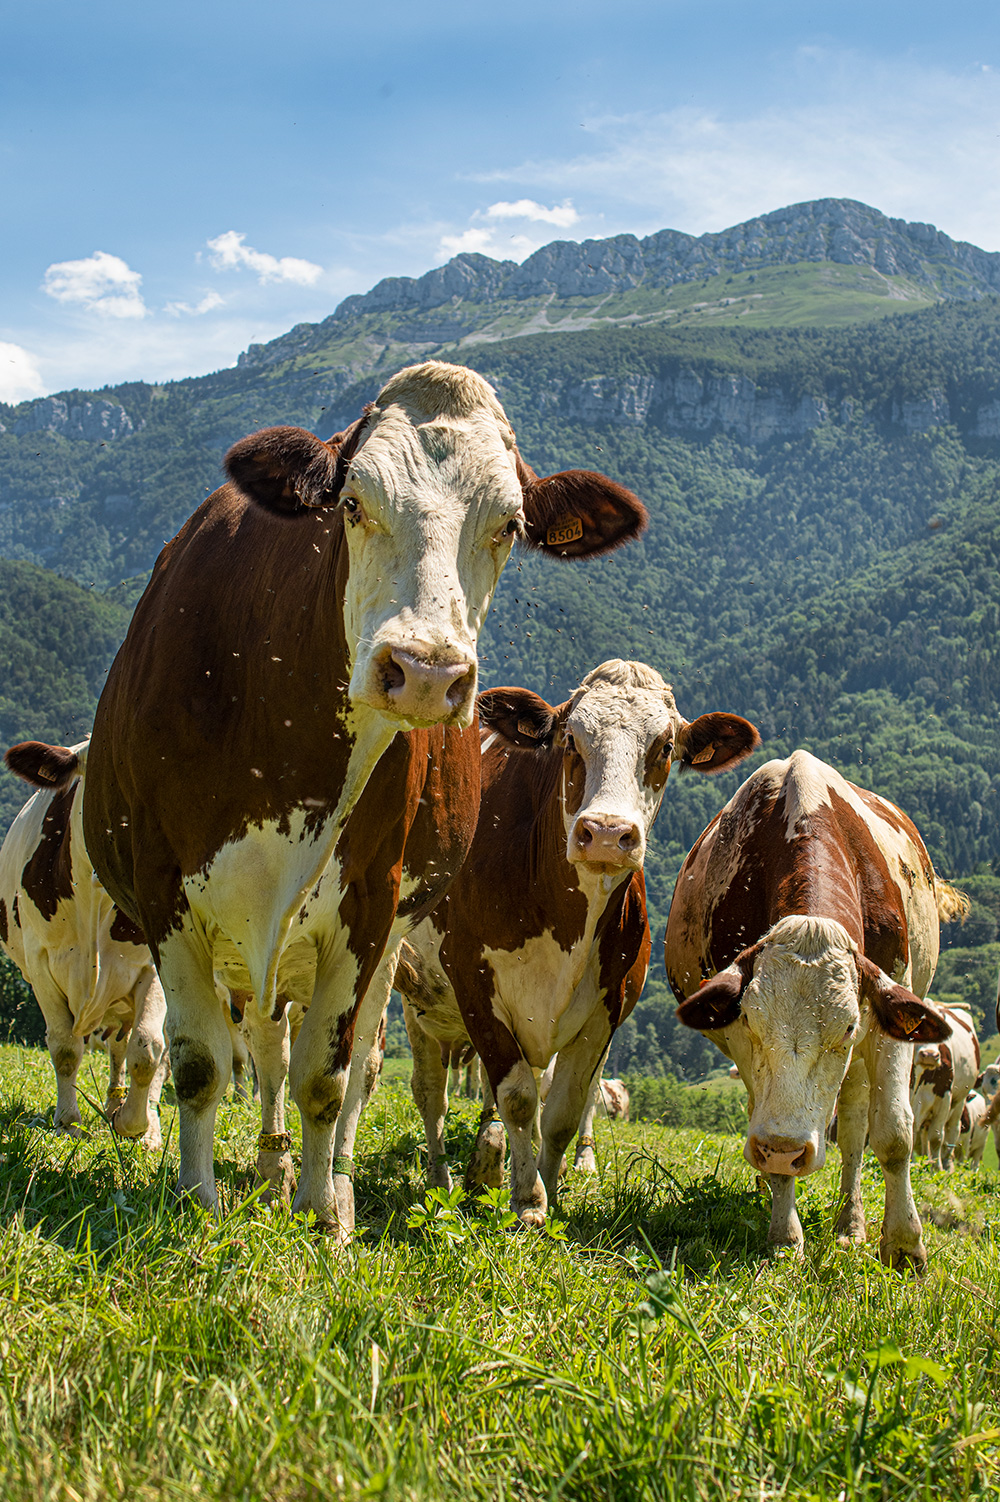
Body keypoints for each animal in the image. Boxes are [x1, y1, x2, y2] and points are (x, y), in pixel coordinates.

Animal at [0, 744, 167, 1141]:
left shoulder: (152, 966)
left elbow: (147, 1048)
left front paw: (135, 1124)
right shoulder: (41, 963)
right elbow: (65, 1047)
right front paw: (67, 1122)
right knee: (116, 1044)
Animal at [81, 363, 642, 1231]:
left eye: (509, 526)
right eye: (350, 503)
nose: (428, 672)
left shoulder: (369, 903)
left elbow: (327, 1074)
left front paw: (322, 1213)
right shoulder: (162, 889)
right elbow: (203, 1064)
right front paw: (197, 1199)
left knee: (351, 1064)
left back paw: (327, 1174)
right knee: (263, 1049)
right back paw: (269, 1162)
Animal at [393, 663, 750, 1225]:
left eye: (666, 746)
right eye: (569, 740)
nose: (605, 833)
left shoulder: (606, 1008)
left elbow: (562, 1109)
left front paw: (550, 1190)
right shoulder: (474, 983)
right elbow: (519, 1098)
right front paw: (528, 1201)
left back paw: (487, 1163)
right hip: (416, 997)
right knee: (430, 1094)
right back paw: (440, 1179)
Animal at [660, 751, 960, 1267]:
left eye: (848, 1027)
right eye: (751, 1020)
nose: (785, 1149)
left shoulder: (889, 1015)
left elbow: (894, 1134)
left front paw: (904, 1245)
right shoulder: (741, 1039)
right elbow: (768, 1122)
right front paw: (785, 1236)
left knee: (855, 1128)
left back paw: (850, 1224)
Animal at [906, 1009, 978, 1171]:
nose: (929, 1055)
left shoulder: (944, 1097)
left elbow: (936, 1137)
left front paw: (937, 1168)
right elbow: (912, 1131)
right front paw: (913, 1164)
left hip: (959, 1101)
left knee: (952, 1130)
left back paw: (946, 1164)